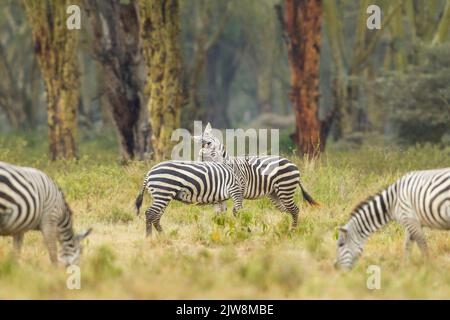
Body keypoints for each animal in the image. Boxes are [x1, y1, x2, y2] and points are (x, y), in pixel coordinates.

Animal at [192, 121, 320, 229]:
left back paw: (292, 230)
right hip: (275, 194)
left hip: (285, 190)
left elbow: (236, 211)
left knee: (295, 210)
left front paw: (240, 229)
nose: (201, 160)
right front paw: (221, 230)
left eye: (209, 143)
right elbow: (219, 214)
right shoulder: (218, 196)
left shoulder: (239, 191)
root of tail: (292, 163)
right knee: (287, 210)